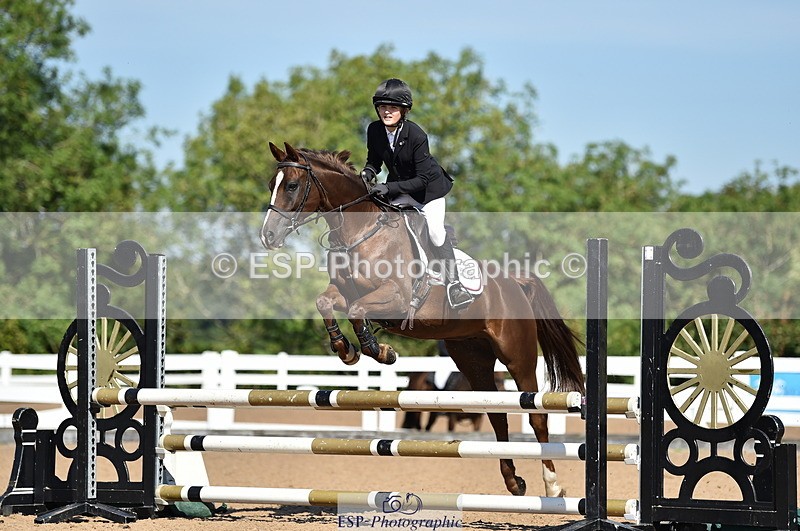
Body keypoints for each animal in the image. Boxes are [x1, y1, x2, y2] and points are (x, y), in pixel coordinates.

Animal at [260, 142, 584, 497]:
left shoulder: (397, 298)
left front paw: (380, 351)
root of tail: (515, 283)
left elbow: (358, 311)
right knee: (496, 414)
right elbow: (325, 302)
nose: (268, 236)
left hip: (517, 354)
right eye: (271, 185)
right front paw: (346, 350)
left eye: (291, 186)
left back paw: (553, 486)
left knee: (536, 415)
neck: (361, 232)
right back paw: (513, 481)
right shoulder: (342, 292)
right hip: (473, 357)